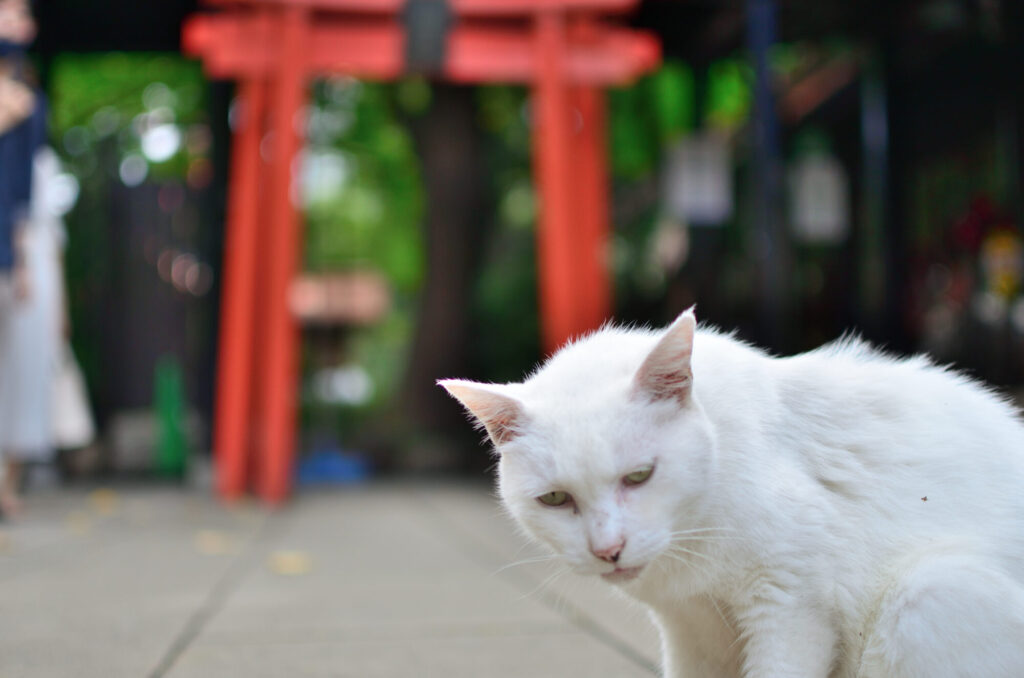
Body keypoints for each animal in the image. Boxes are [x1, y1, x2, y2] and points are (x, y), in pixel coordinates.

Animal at [438, 307, 1024, 678]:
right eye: (556, 500)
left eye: (639, 476)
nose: (608, 550)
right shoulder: (690, 627)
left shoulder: (791, 607)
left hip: (930, 595)